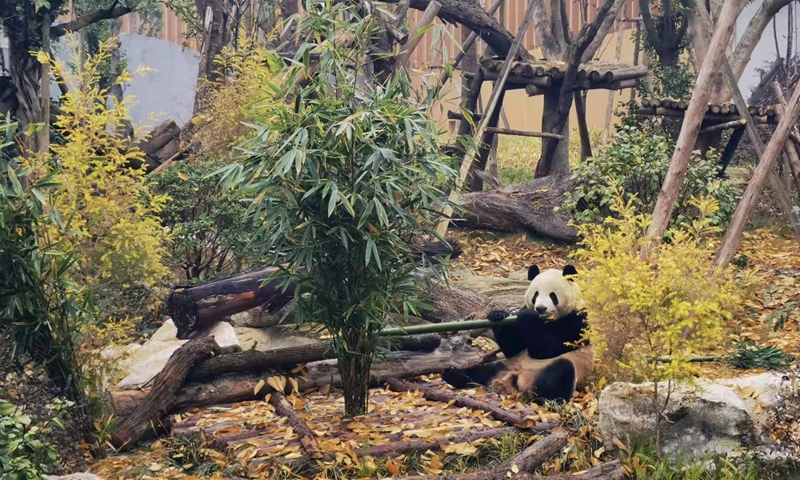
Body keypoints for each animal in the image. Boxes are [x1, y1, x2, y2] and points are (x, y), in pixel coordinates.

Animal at [444, 264, 592, 404]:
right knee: (485, 371)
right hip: (509, 365)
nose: (540, 308)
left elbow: (547, 349)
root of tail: (516, 384)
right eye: (536, 295)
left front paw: (528, 317)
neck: (547, 320)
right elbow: (513, 348)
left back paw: (544, 400)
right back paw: (454, 375)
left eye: (553, 295)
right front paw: (498, 315)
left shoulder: (577, 321)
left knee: (561, 371)